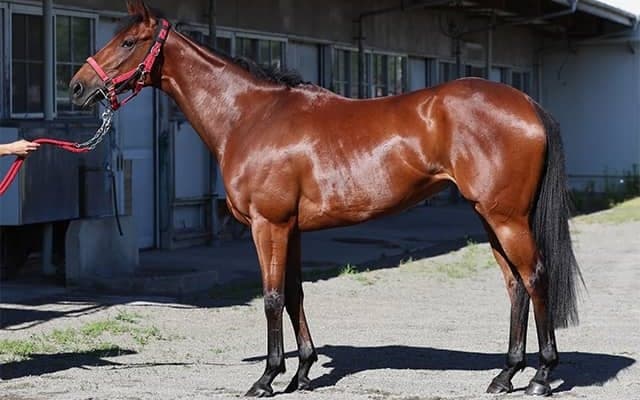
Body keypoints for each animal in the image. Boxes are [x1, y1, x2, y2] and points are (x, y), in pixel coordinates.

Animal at [70, 1, 583, 397]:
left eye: (128, 43)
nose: (77, 86)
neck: (250, 116)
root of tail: (527, 104)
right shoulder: (291, 229)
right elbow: (295, 293)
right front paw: (301, 372)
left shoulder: (269, 225)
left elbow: (272, 297)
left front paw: (267, 378)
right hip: (489, 217)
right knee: (514, 285)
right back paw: (505, 375)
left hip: (506, 217)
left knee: (535, 278)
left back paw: (540, 376)